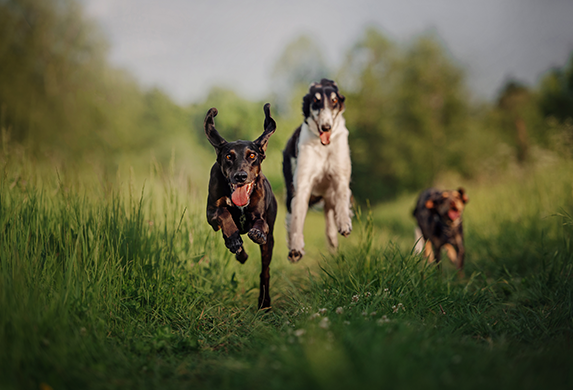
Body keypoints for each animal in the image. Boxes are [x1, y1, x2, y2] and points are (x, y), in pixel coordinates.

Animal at [204, 102, 278, 310]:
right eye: (229, 157)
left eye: (252, 155)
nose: (240, 176)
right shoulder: (210, 213)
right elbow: (223, 213)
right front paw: (234, 239)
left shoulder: (261, 217)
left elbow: (260, 223)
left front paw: (257, 232)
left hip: (269, 245)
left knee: (265, 272)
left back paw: (264, 303)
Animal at [282, 79, 354, 262]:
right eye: (316, 101)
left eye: (334, 101)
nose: (326, 127)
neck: (324, 147)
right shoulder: (302, 185)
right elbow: (297, 220)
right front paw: (296, 248)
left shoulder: (340, 176)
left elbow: (343, 199)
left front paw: (344, 223)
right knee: (291, 218)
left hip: (329, 196)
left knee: (329, 220)